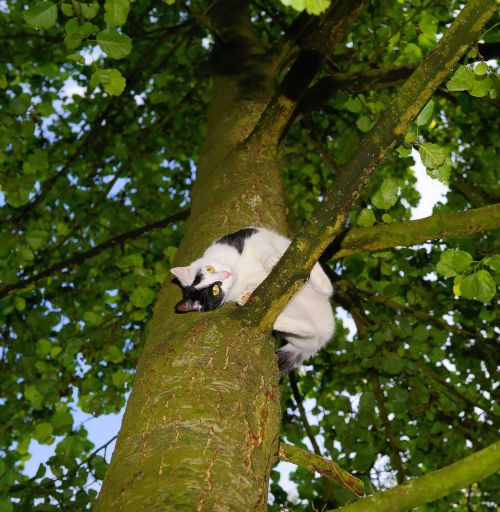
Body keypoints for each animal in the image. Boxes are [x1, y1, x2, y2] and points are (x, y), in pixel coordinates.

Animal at [170, 228, 334, 372]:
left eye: (209, 268)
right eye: (215, 291)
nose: (226, 274)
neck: (238, 272)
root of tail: (325, 333)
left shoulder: (249, 235)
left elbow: (261, 247)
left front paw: (270, 260)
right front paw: (247, 294)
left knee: (327, 288)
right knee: (308, 329)